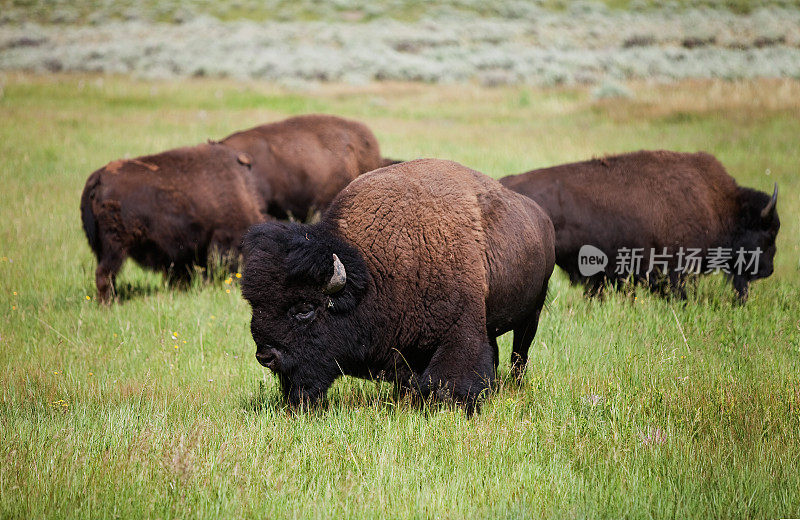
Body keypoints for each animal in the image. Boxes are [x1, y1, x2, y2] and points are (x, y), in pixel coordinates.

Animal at [242, 156, 556, 412]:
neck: (377, 270)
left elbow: (452, 378)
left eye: (305, 308)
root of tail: (542, 217)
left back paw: (513, 385)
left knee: (519, 352)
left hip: (532, 313)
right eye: (255, 305)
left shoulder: (460, 331)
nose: (265, 356)